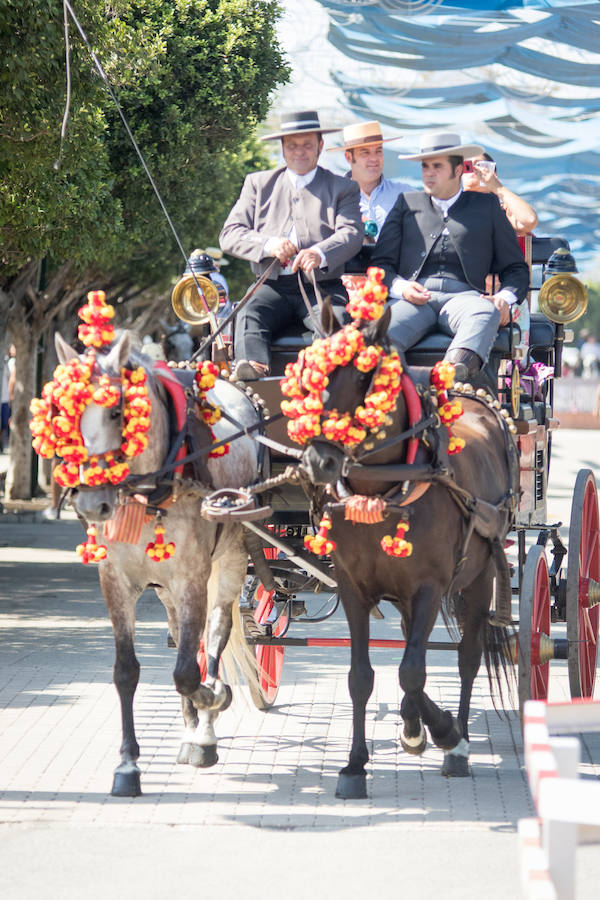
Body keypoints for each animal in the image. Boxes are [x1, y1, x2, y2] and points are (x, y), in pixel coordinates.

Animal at [56, 330, 260, 796]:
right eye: (67, 413)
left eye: (117, 411)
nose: (91, 503)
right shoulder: (115, 581)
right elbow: (126, 672)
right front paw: (128, 764)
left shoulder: (192, 579)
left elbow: (187, 671)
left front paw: (213, 699)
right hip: (166, 589)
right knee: (185, 636)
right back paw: (190, 729)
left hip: (231, 558)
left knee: (215, 632)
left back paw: (205, 729)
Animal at [298, 306, 516, 800]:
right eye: (312, 369)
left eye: (366, 376)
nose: (319, 460)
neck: (386, 488)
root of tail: (475, 397)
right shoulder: (354, 588)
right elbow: (362, 677)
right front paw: (355, 766)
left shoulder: (430, 587)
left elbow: (412, 672)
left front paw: (447, 734)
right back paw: (416, 725)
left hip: (478, 580)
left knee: (468, 658)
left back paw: (459, 740)